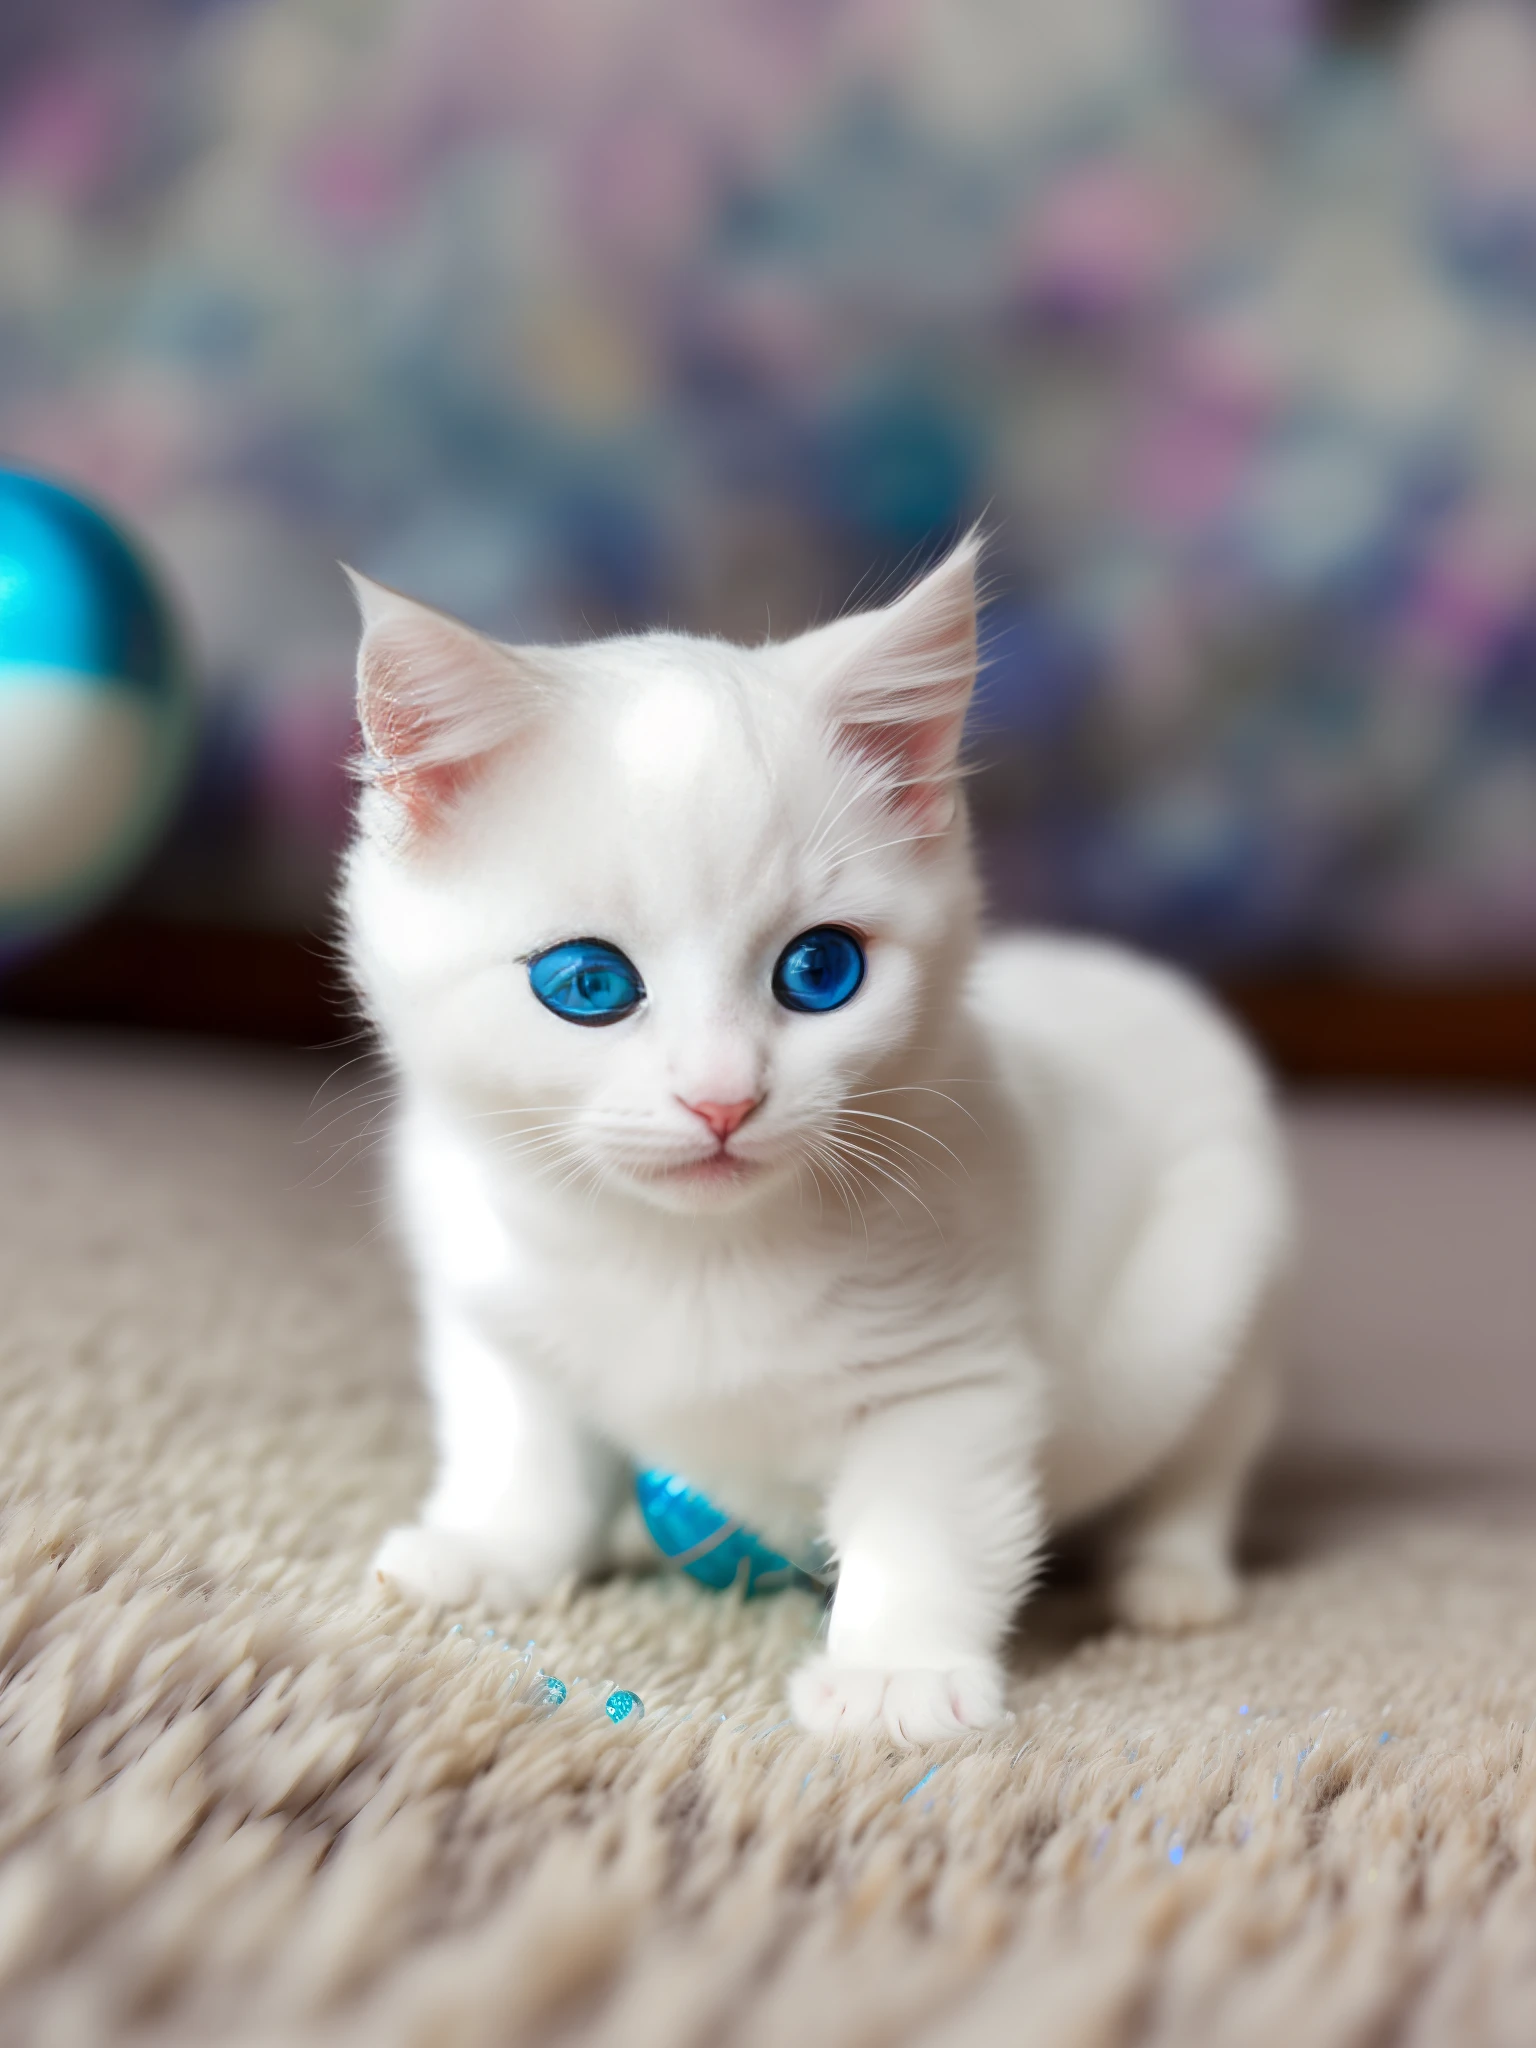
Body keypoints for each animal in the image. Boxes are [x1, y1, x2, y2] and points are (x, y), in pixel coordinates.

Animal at [342, 540, 1294, 1744]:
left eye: (820, 968)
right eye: (588, 984)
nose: (721, 1098)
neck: (685, 1257)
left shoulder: (953, 1369)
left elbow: (923, 1519)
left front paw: (896, 1672)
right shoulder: (491, 1293)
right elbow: (523, 1441)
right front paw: (492, 1547)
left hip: (1217, 1290)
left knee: (1206, 1452)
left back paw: (1172, 1574)